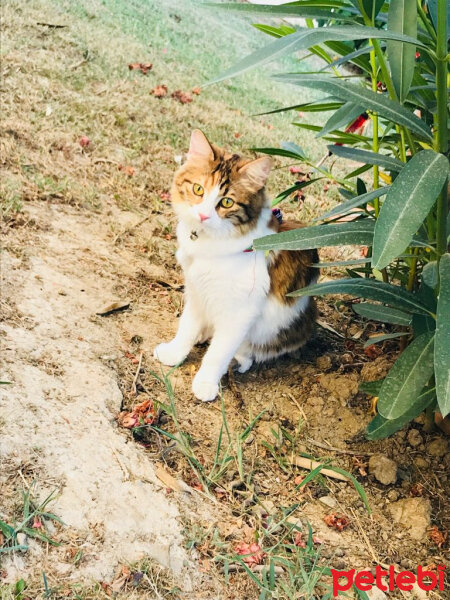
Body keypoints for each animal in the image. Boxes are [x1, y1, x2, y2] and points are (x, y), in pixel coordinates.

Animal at [153, 131, 318, 404]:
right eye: (198, 189)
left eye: (227, 202)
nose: (204, 216)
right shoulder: (197, 290)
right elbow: (186, 328)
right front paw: (175, 353)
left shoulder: (240, 312)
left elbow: (218, 353)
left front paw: (206, 383)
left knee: (245, 353)